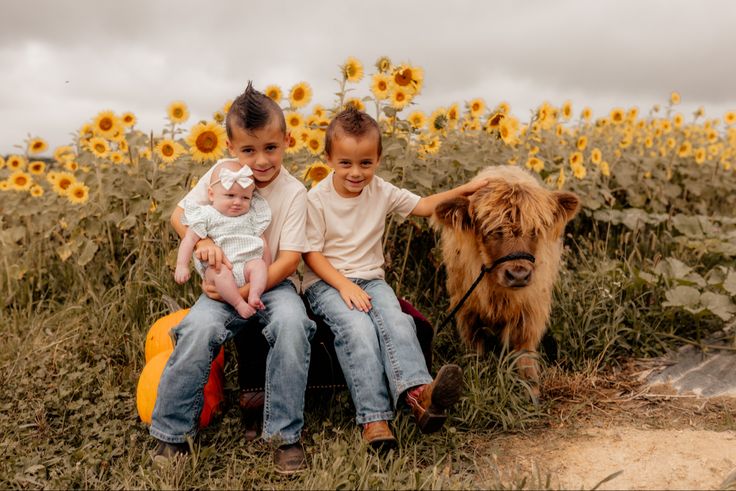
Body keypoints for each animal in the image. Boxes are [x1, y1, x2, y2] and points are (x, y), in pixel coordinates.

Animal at [432, 167, 580, 398]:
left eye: (535, 230)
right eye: (492, 231)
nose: (518, 275)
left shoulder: (531, 311)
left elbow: (524, 352)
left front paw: (531, 389)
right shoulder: (468, 310)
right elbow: (476, 347)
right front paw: (474, 374)